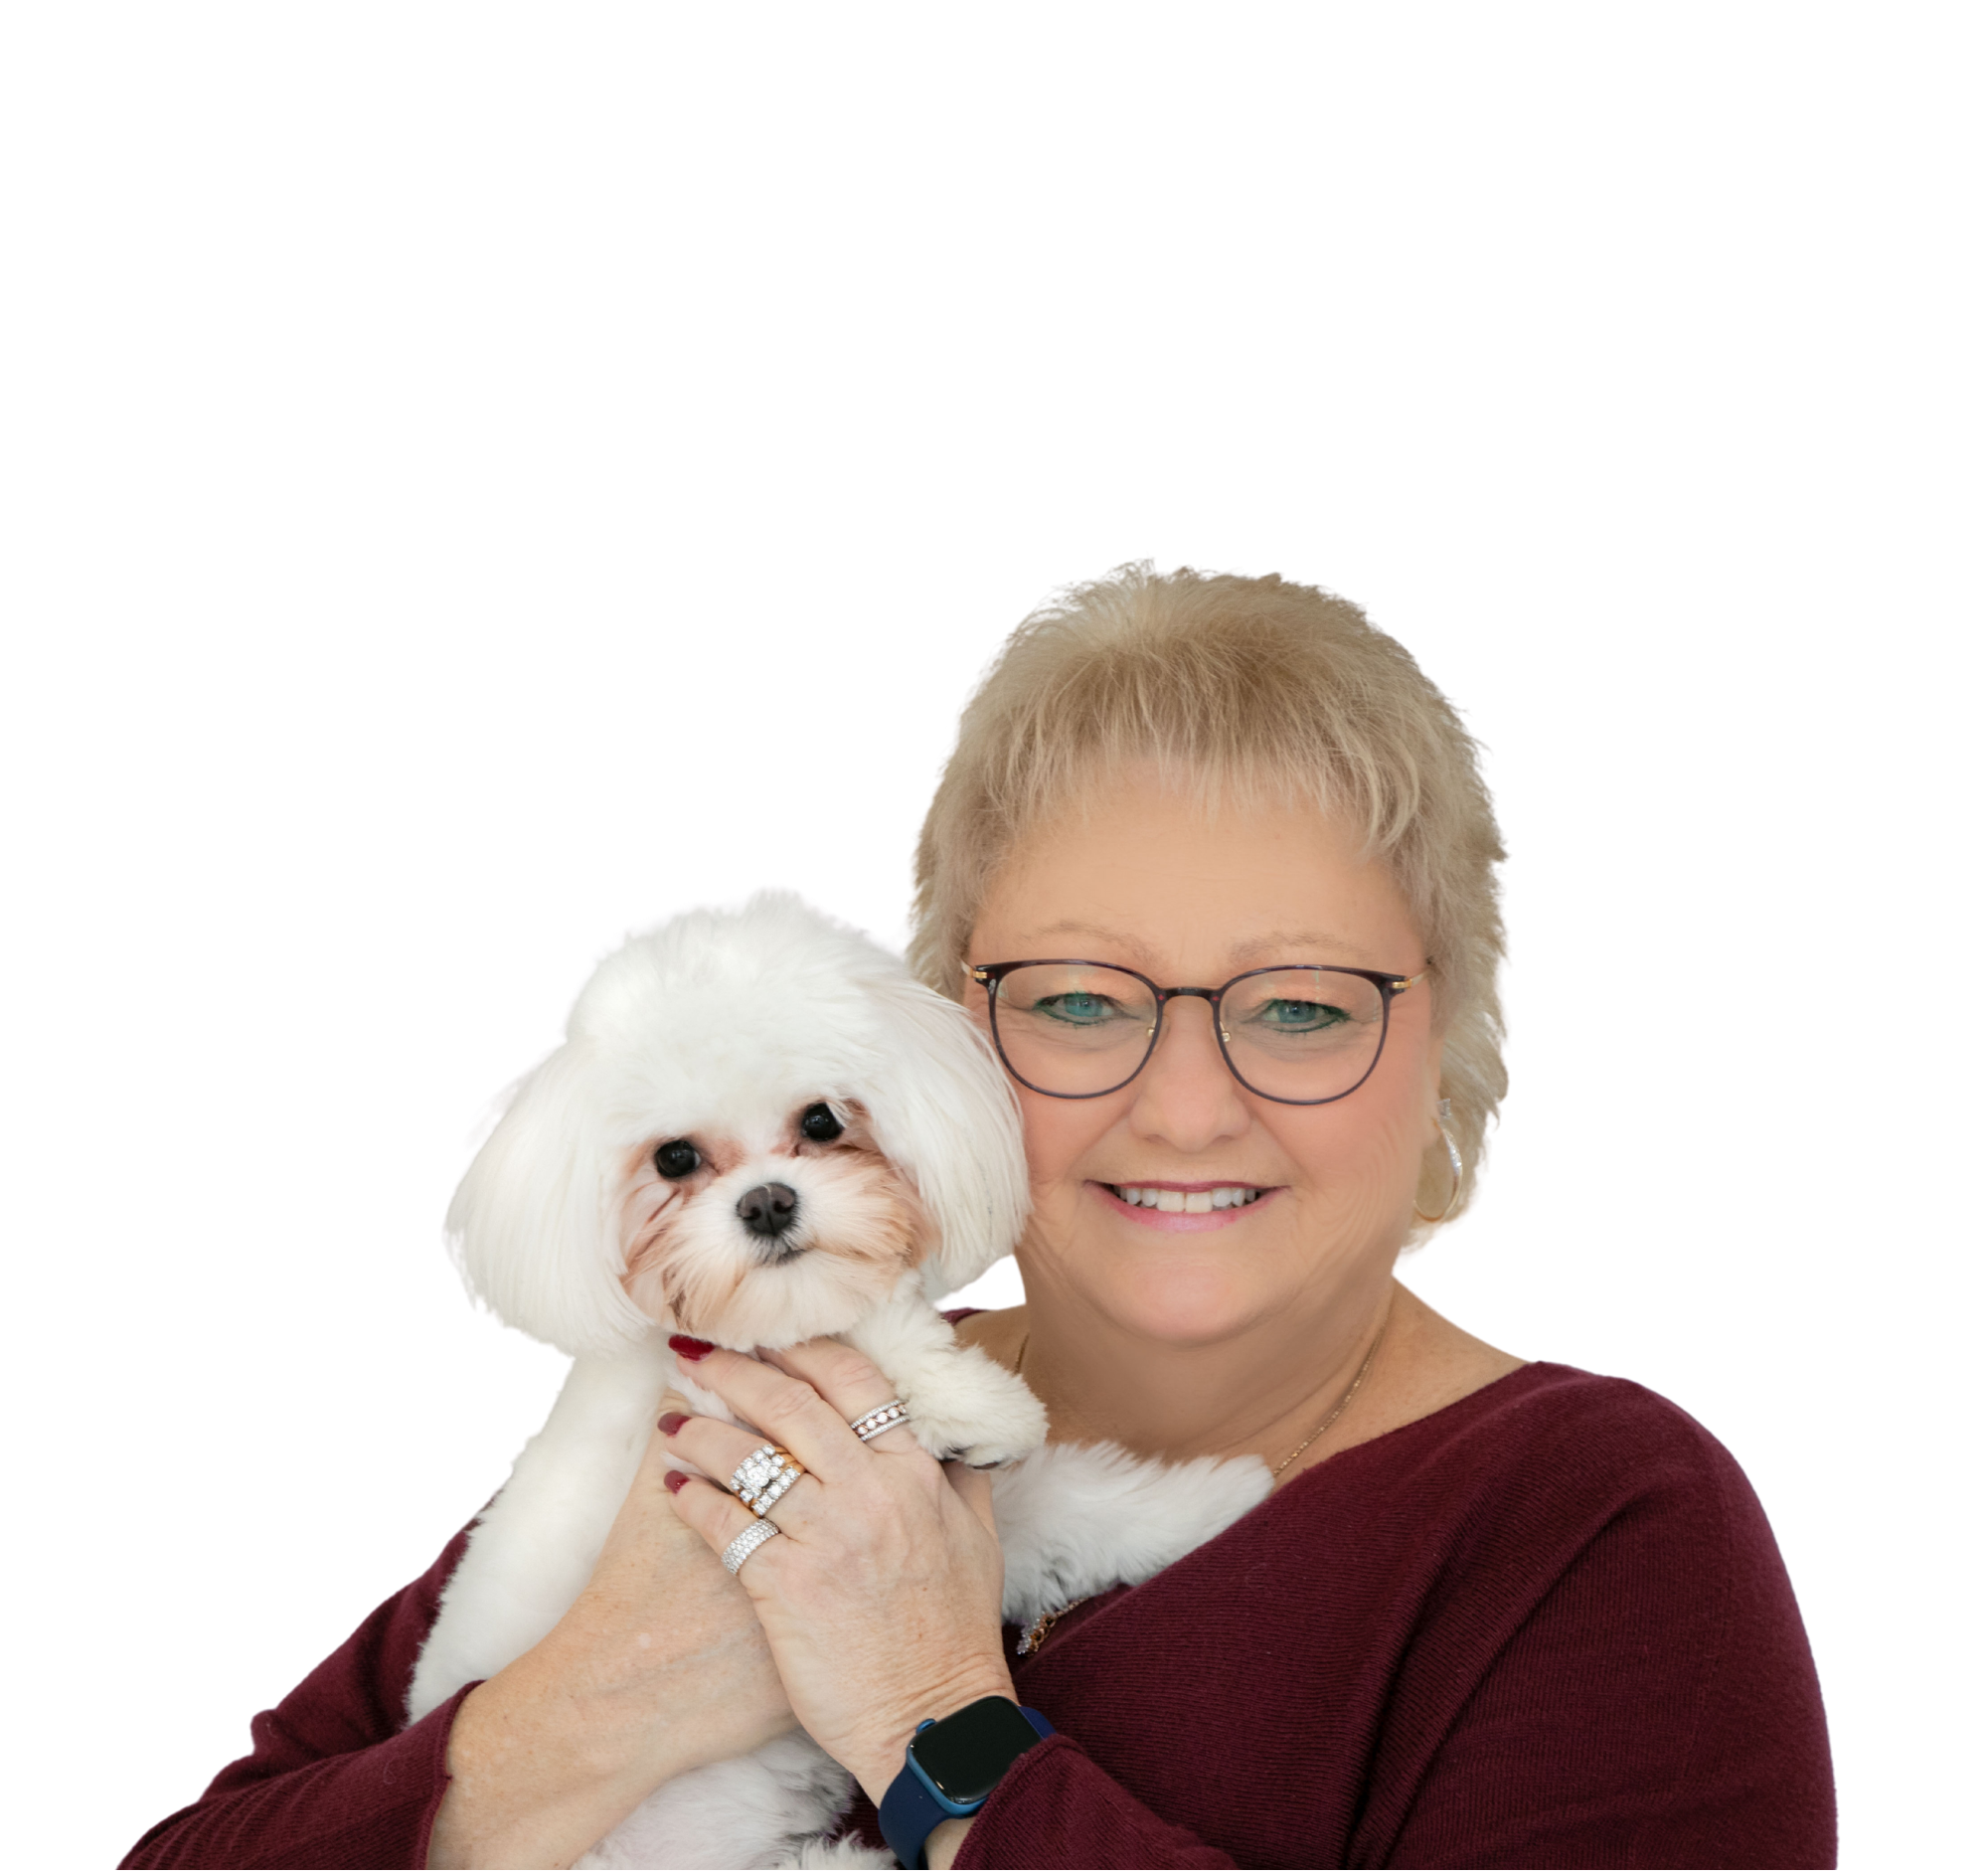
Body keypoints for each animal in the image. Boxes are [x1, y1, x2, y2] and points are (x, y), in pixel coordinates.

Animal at [406, 885, 1273, 1870]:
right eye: (673, 1158)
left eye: (821, 1120)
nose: (768, 1200)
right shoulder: (701, 1405)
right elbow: (881, 1351)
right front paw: (973, 1405)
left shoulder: (964, 1520)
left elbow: (1069, 1505)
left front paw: (1211, 1501)